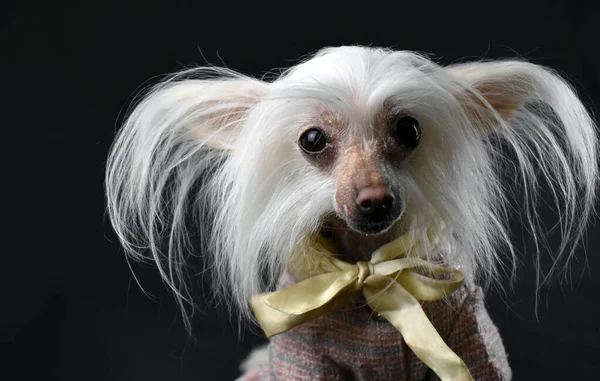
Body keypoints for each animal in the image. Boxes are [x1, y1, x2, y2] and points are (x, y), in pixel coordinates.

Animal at [105, 46, 596, 378]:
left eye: (409, 130)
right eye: (312, 140)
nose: (376, 199)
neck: (369, 267)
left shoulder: (471, 334)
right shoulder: (305, 355)